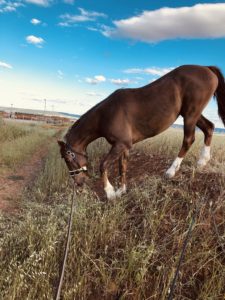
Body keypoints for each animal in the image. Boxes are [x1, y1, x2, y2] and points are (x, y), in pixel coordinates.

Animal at [58, 64, 225, 198]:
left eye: (67, 158)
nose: (78, 182)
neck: (105, 115)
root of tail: (206, 68)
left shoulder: (120, 144)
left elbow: (103, 165)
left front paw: (110, 192)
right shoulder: (123, 146)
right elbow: (122, 167)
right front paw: (121, 191)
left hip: (191, 114)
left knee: (189, 139)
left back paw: (171, 171)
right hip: (192, 114)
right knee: (209, 127)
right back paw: (203, 160)